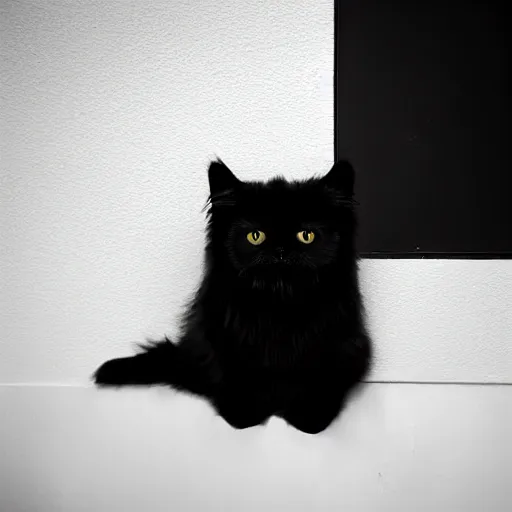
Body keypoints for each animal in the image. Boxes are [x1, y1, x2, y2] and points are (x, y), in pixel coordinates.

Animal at [93, 159, 372, 432]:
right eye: (255, 236)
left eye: (307, 236)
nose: (281, 251)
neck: (278, 308)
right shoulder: (224, 339)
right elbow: (237, 379)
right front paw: (244, 416)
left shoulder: (332, 341)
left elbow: (316, 381)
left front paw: (309, 419)